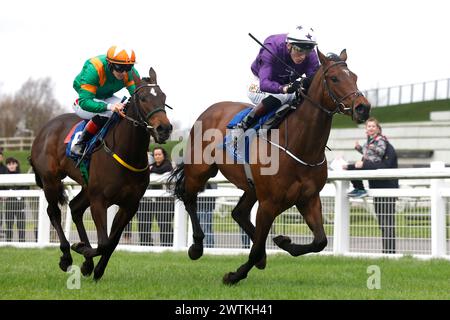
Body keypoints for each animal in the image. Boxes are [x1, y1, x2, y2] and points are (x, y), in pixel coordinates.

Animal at [28, 68, 172, 280]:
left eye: (163, 97)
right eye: (143, 98)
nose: (165, 129)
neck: (127, 152)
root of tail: (44, 130)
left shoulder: (130, 205)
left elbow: (112, 242)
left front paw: (94, 268)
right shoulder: (99, 200)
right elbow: (103, 242)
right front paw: (82, 250)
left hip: (86, 187)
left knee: (75, 208)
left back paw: (85, 260)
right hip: (50, 180)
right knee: (53, 212)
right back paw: (66, 255)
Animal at [171, 48, 370, 284]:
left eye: (355, 77)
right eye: (334, 78)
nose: (363, 107)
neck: (299, 146)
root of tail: (210, 109)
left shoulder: (308, 198)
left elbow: (320, 241)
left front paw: (283, 242)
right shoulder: (269, 203)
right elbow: (256, 247)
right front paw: (234, 275)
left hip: (250, 186)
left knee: (238, 213)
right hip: (200, 170)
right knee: (189, 197)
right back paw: (197, 247)